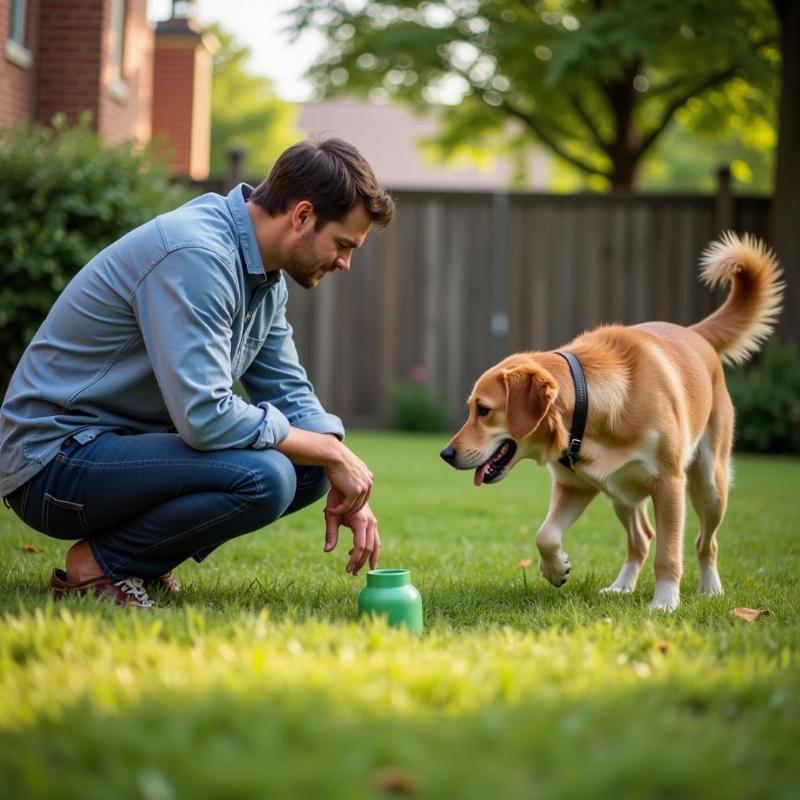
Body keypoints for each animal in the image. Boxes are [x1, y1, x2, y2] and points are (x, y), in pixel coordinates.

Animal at [440, 234, 784, 608]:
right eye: (471, 408)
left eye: (483, 410)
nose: (445, 454)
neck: (588, 404)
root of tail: (696, 334)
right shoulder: (574, 485)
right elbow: (545, 534)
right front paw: (556, 568)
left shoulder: (669, 483)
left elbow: (669, 553)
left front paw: (665, 603)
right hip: (621, 493)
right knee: (641, 538)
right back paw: (621, 586)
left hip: (709, 485)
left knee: (705, 543)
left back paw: (710, 588)